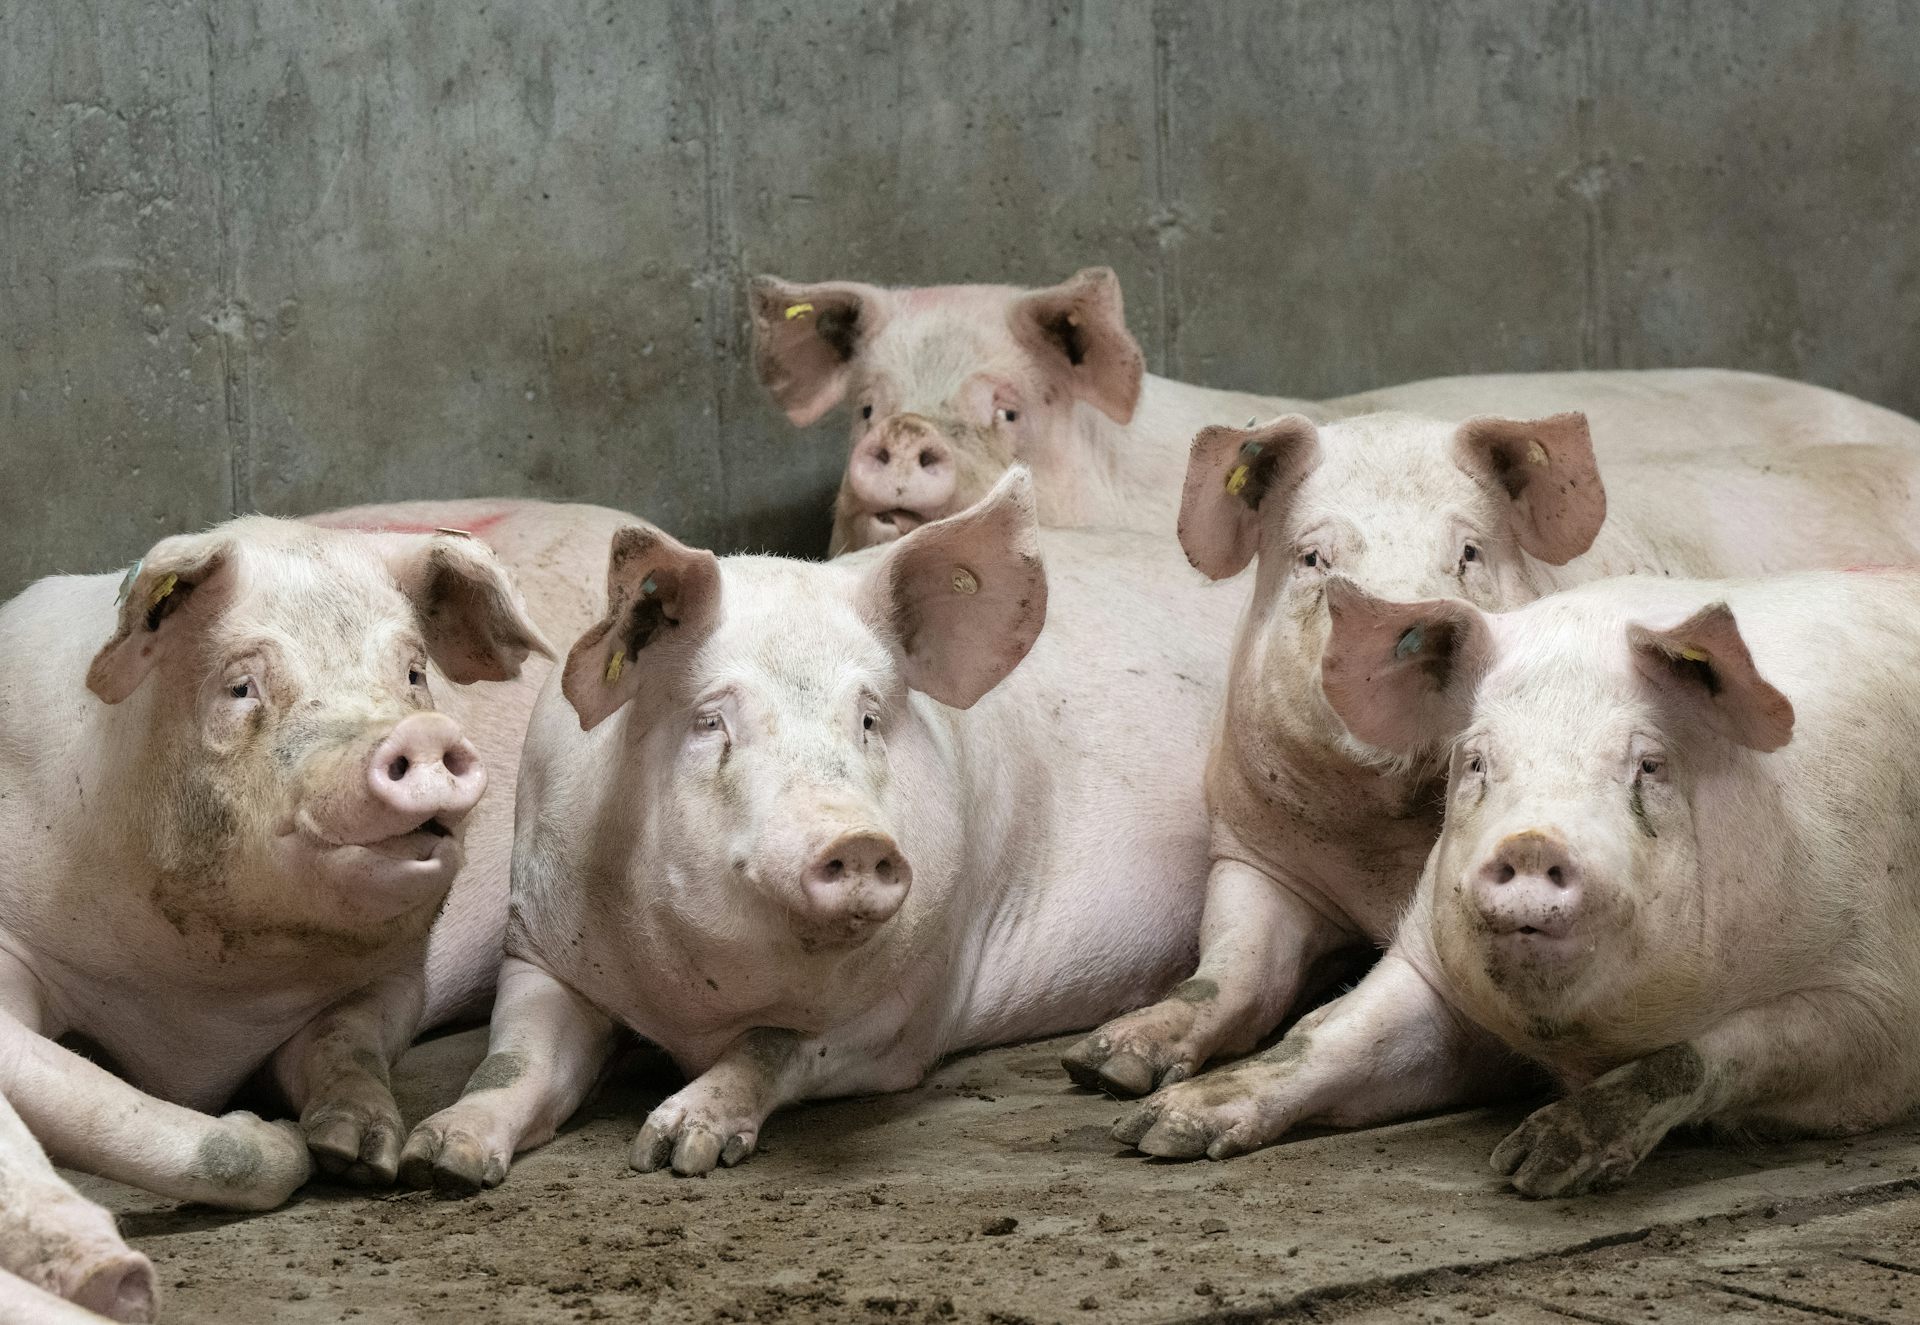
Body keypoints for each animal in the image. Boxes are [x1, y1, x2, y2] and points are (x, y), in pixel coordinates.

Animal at [0, 514, 558, 1320]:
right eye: (240, 685)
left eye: (413, 673)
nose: (418, 735)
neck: (209, 1001)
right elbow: (85, 1088)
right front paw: (288, 1149)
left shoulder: (398, 973)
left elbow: (345, 1042)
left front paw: (359, 1153)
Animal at [396, 471, 1245, 1189]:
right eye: (712, 719)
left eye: (869, 717)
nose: (855, 839)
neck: (692, 1010)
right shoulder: (538, 947)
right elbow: (513, 1061)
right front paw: (437, 1160)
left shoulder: (917, 1000)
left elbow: (773, 1044)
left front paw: (674, 1147)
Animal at [1064, 409, 1920, 1105]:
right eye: (1313, 559)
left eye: (1469, 551)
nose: (1406, 619)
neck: (1384, 850)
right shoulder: (1252, 844)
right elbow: (1233, 964)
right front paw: (1105, 1067)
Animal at [1115, 570, 1920, 1197]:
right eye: (1476, 760)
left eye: (1649, 764)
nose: (1531, 843)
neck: (1578, 1044)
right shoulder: (1431, 961)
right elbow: (1329, 1037)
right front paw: (1151, 1131)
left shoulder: (1873, 1006)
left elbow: (1694, 1056)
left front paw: (1534, 1166)